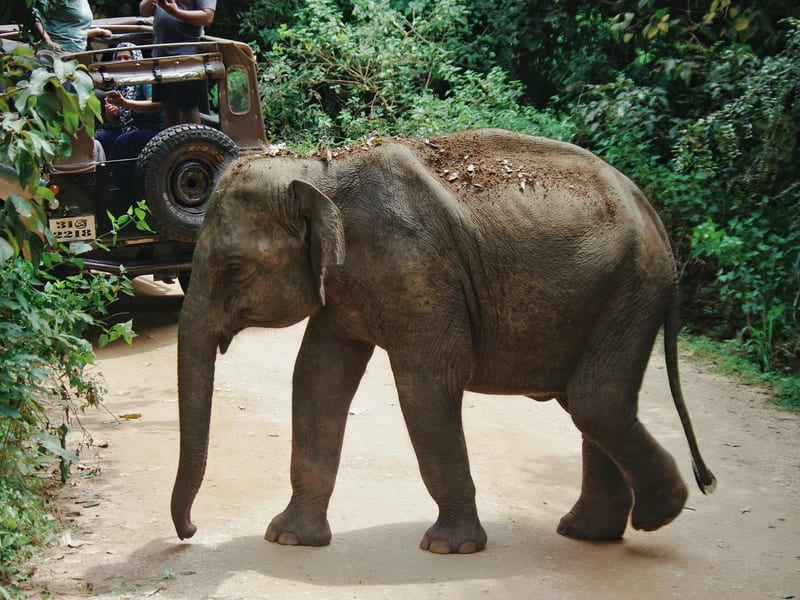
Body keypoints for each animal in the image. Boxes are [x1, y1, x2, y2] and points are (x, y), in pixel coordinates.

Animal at [171, 128, 716, 554]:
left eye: (233, 268)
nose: (191, 531)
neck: (322, 169)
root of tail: (652, 213)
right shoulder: (343, 291)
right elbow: (317, 381)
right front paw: (289, 539)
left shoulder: (418, 270)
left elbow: (426, 386)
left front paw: (449, 547)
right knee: (592, 406)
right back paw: (588, 532)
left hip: (632, 288)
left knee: (595, 401)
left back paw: (656, 516)